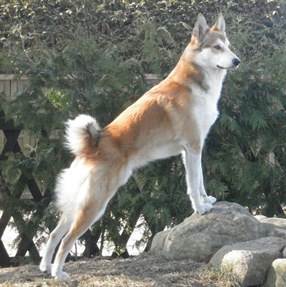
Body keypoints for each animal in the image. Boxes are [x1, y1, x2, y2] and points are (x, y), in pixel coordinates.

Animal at [38, 12, 239, 280]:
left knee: (54, 234)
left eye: (227, 45)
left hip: (77, 203)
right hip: (95, 205)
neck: (193, 83)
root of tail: (93, 145)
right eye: (217, 48)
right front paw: (200, 209)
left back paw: (46, 267)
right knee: (67, 240)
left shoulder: (191, 150)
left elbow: (200, 182)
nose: (237, 60)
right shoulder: (193, 146)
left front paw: (207, 201)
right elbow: (194, 185)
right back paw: (58, 273)